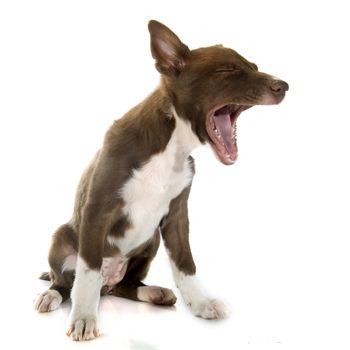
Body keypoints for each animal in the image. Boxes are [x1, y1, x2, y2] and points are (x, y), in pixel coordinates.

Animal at [34, 19, 288, 342]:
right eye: (227, 70)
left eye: (254, 66)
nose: (284, 86)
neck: (173, 146)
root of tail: (109, 280)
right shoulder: (97, 209)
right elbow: (87, 273)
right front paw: (83, 318)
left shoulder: (177, 215)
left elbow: (185, 263)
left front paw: (201, 303)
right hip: (61, 237)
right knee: (67, 282)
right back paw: (51, 295)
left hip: (150, 240)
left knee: (125, 285)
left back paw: (154, 292)